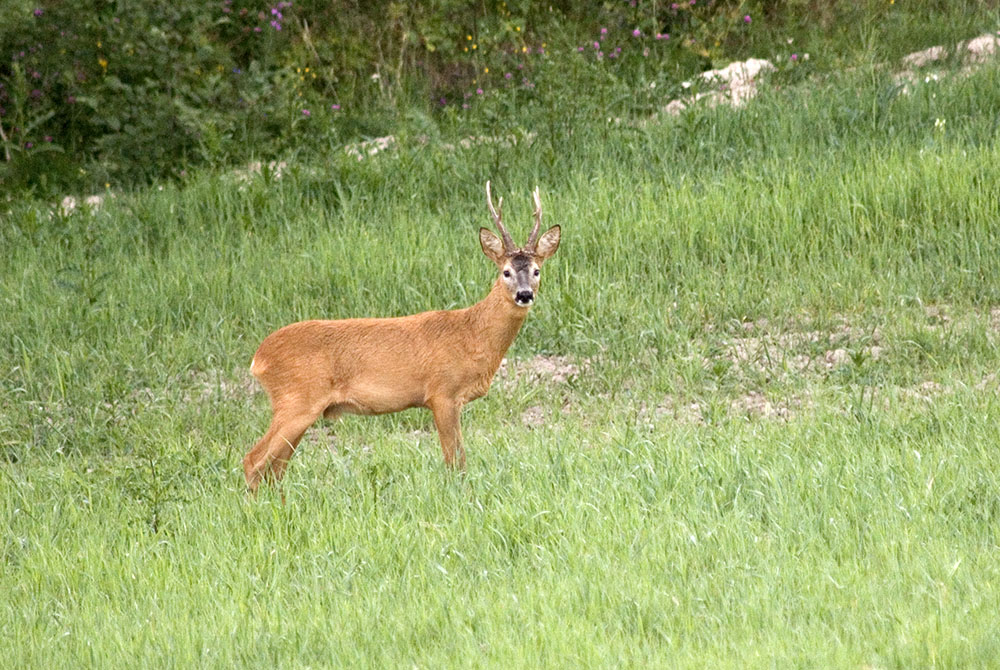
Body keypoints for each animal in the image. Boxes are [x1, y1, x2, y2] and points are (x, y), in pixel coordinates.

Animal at [239, 184, 560, 494]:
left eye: (536, 270)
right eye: (506, 272)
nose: (524, 294)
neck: (471, 336)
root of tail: (259, 358)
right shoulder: (442, 393)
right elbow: (455, 461)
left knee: (275, 468)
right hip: (296, 400)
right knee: (254, 460)